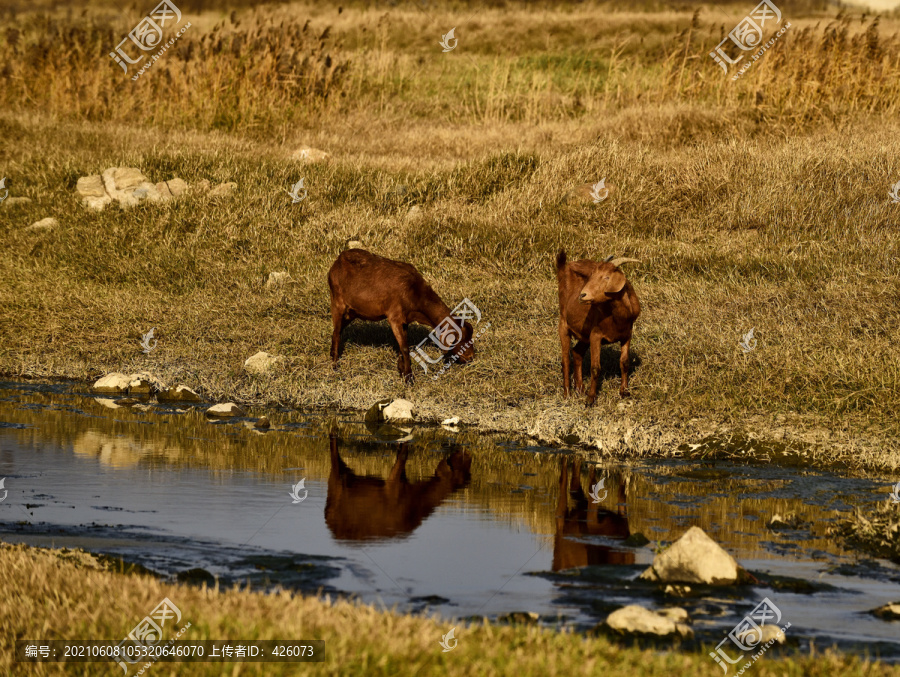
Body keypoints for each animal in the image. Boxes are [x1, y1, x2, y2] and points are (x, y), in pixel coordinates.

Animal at [326, 248, 474, 380]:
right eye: (461, 340)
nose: (470, 357)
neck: (415, 292)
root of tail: (336, 262)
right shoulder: (395, 317)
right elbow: (404, 348)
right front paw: (409, 378)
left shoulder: (405, 320)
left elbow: (402, 345)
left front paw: (401, 370)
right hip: (338, 303)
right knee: (337, 332)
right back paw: (334, 365)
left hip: (351, 312)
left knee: (337, 331)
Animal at [556, 250, 640, 404]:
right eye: (591, 276)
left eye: (607, 277)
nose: (582, 295)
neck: (617, 317)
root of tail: (564, 267)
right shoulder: (596, 335)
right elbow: (595, 368)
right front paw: (590, 399)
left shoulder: (627, 334)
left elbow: (624, 363)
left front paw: (624, 392)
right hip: (563, 324)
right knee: (565, 360)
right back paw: (567, 394)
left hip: (584, 334)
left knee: (577, 352)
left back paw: (580, 389)